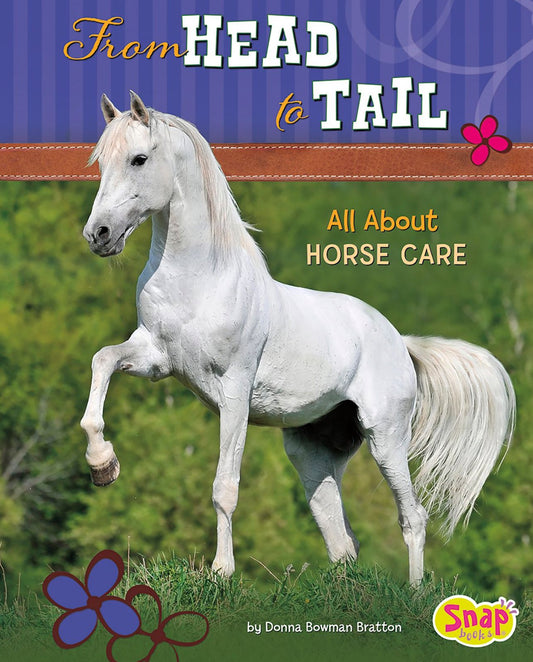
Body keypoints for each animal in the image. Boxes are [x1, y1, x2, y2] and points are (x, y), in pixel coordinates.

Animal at [80, 92, 515, 585]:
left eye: (139, 159)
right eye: (101, 162)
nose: (98, 235)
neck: (199, 278)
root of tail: (401, 343)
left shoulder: (234, 391)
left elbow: (224, 487)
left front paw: (221, 572)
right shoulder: (156, 359)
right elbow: (102, 361)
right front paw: (103, 464)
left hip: (386, 437)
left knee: (413, 518)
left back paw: (418, 593)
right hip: (313, 452)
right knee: (341, 538)